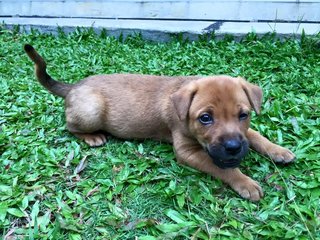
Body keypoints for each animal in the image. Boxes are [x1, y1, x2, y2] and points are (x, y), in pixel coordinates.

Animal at [24, 44, 296, 201]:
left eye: (244, 115)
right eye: (205, 118)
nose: (233, 148)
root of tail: (74, 87)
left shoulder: (242, 132)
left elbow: (255, 135)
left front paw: (278, 150)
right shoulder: (187, 152)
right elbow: (220, 167)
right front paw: (245, 182)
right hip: (91, 111)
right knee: (70, 126)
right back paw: (92, 137)